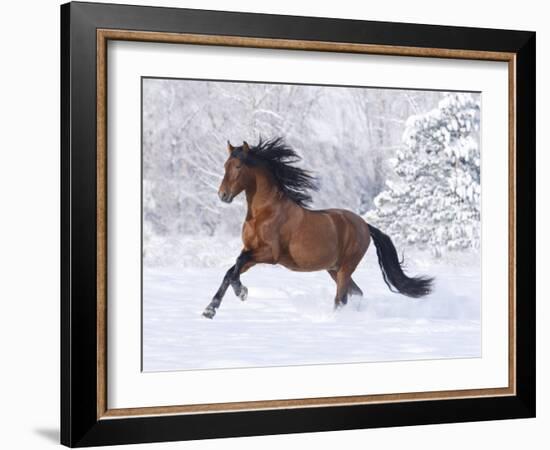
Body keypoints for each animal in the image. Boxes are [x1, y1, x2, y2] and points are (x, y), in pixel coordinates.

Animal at [201, 139, 434, 318]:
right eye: (225, 165)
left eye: (238, 167)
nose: (222, 195)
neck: (264, 213)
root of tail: (365, 225)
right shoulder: (251, 251)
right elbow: (231, 271)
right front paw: (211, 309)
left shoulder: (270, 254)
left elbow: (237, 264)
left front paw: (240, 293)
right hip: (334, 269)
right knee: (356, 293)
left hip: (346, 267)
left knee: (341, 298)